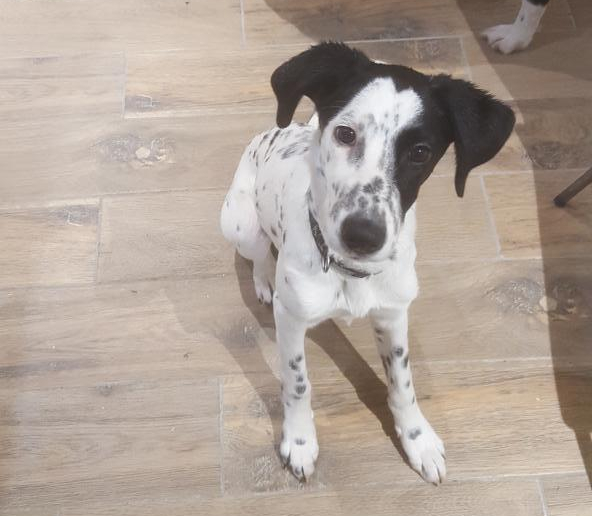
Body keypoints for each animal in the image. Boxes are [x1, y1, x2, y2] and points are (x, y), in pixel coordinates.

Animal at [220, 42, 515, 484]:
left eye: (420, 152)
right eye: (345, 133)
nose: (362, 234)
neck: (348, 272)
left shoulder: (393, 314)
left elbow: (403, 383)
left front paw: (417, 439)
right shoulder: (291, 321)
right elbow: (297, 382)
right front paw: (300, 441)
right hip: (240, 225)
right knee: (256, 256)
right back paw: (263, 282)